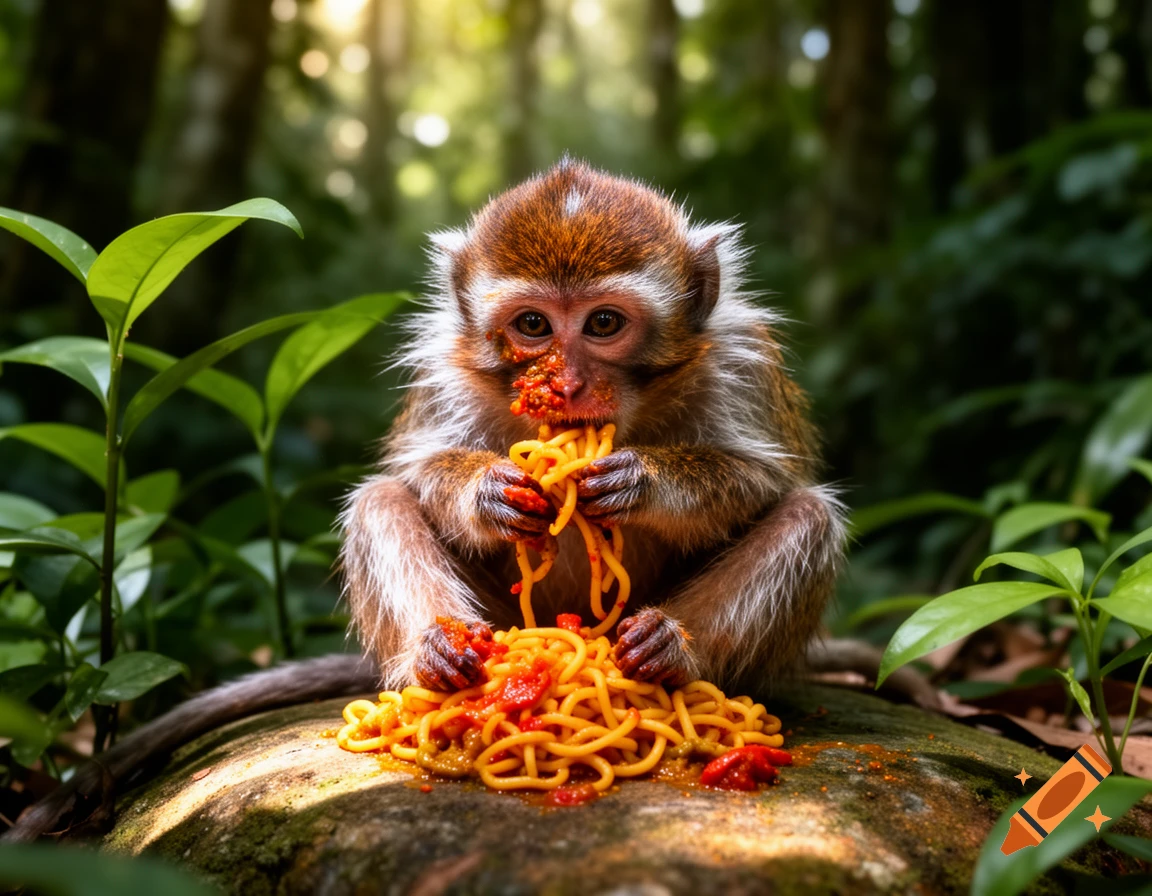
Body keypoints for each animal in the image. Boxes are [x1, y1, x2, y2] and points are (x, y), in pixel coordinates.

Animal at [3, 159, 858, 844]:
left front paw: (635, 479)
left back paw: (669, 650)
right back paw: (439, 658)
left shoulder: (739, 362)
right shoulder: (446, 368)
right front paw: (488, 491)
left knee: (809, 518)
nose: (566, 383)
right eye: (533, 325)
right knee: (380, 500)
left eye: (605, 323)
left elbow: (763, 478)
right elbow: (414, 470)